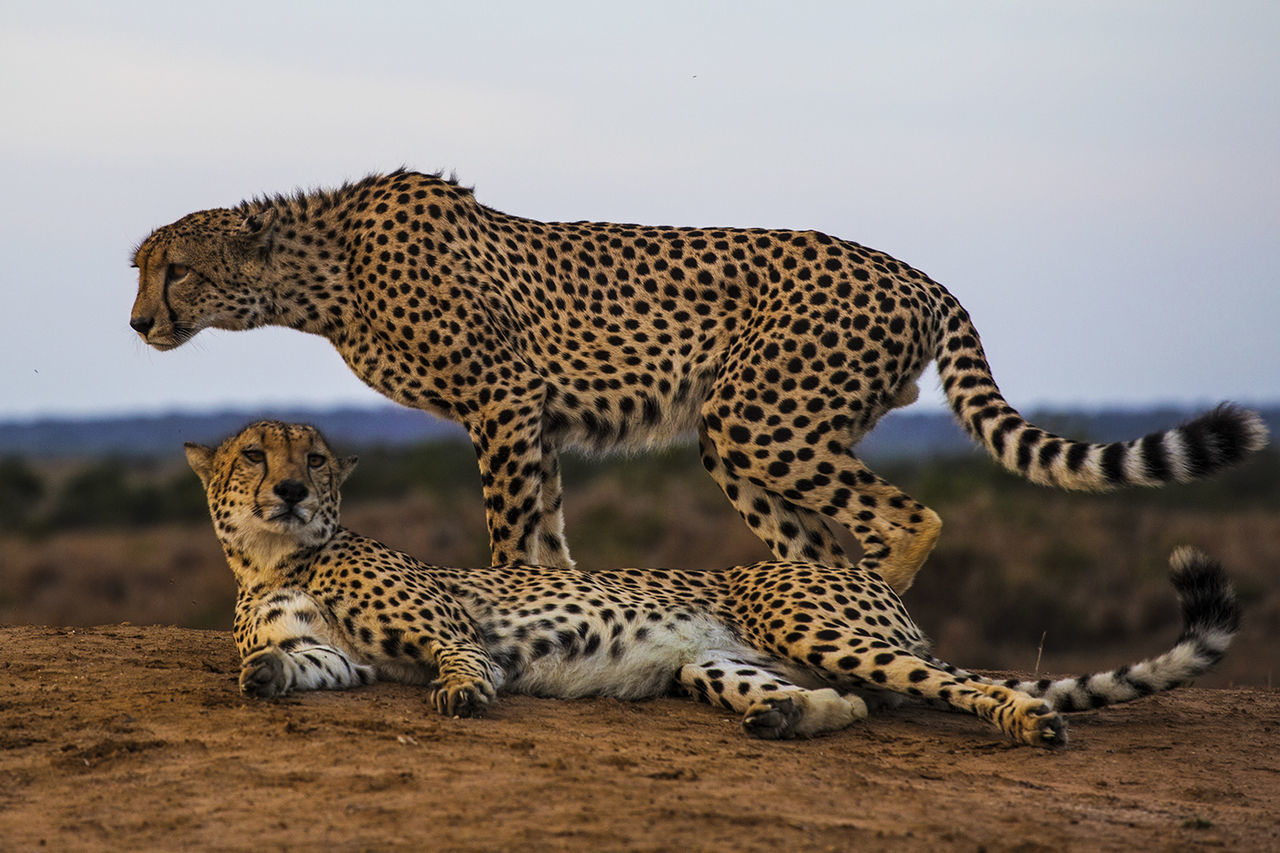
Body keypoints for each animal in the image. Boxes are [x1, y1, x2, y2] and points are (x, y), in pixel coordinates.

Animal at [129, 169, 1269, 589]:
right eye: (140, 267)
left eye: (173, 267)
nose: (139, 321)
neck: (321, 270)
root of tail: (917, 271)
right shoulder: (537, 417)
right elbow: (547, 534)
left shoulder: (501, 401)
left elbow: (509, 532)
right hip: (749, 434)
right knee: (817, 544)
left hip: (759, 414)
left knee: (904, 517)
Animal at [186, 417, 1239, 742]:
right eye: (253, 453)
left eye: (314, 458)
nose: (288, 487)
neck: (278, 556)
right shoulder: (337, 656)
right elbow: (293, 665)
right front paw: (261, 675)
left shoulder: (443, 622)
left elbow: (459, 657)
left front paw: (461, 692)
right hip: (718, 661)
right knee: (854, 702)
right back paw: (783, 717)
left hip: (821, 623)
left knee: (964, 683)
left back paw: (1028, 721)